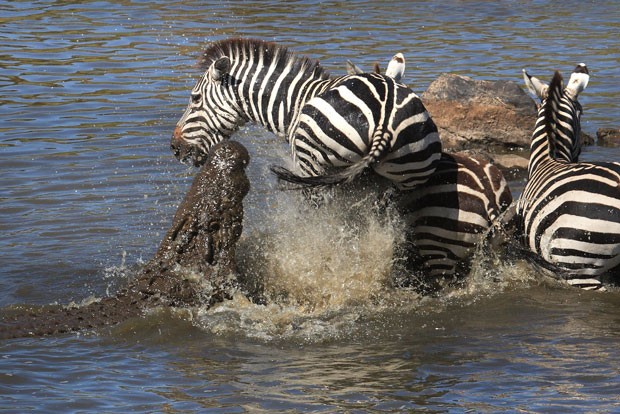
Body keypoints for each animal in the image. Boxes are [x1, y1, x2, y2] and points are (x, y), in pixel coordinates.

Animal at [170, 37, 440, 191]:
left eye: (195, 99)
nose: (174, 148)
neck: (295, 102)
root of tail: (384, 114)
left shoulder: (301, 166)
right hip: (409, 175)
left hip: (313, 166)